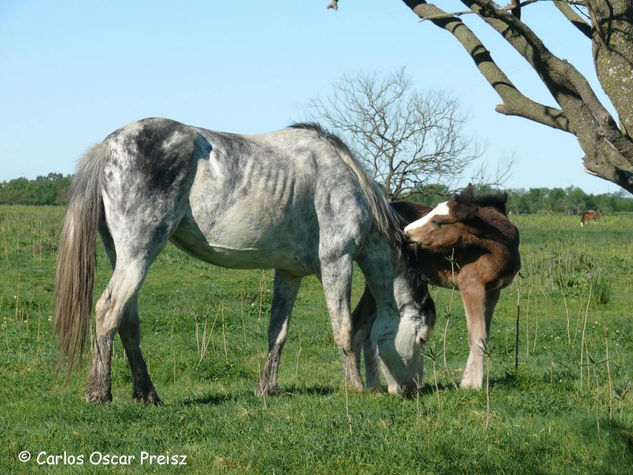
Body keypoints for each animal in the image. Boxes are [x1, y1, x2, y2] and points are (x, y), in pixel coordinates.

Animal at [55, 117, 434, 404]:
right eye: (422, 339)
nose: (413, 390)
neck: (344, 177)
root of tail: (109, 146)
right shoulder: (336, 262)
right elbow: (344, 329)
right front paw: (354, 388)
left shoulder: (289, 272)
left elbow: (277, 332)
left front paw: (266, 389)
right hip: (138, 255)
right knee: (107, 311)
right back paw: (100, 393)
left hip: (122, 255)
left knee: (127, 321)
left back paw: (147, 394)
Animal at [350, 184, 520, 392]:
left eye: (437, 221)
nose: (406, 232)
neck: (498, 250)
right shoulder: (471, 286)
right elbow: (476, 334)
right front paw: (471, 384)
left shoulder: (493, 291)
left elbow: (484, 334)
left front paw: (470, 381)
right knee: (360, 324)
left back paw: (373, 385)